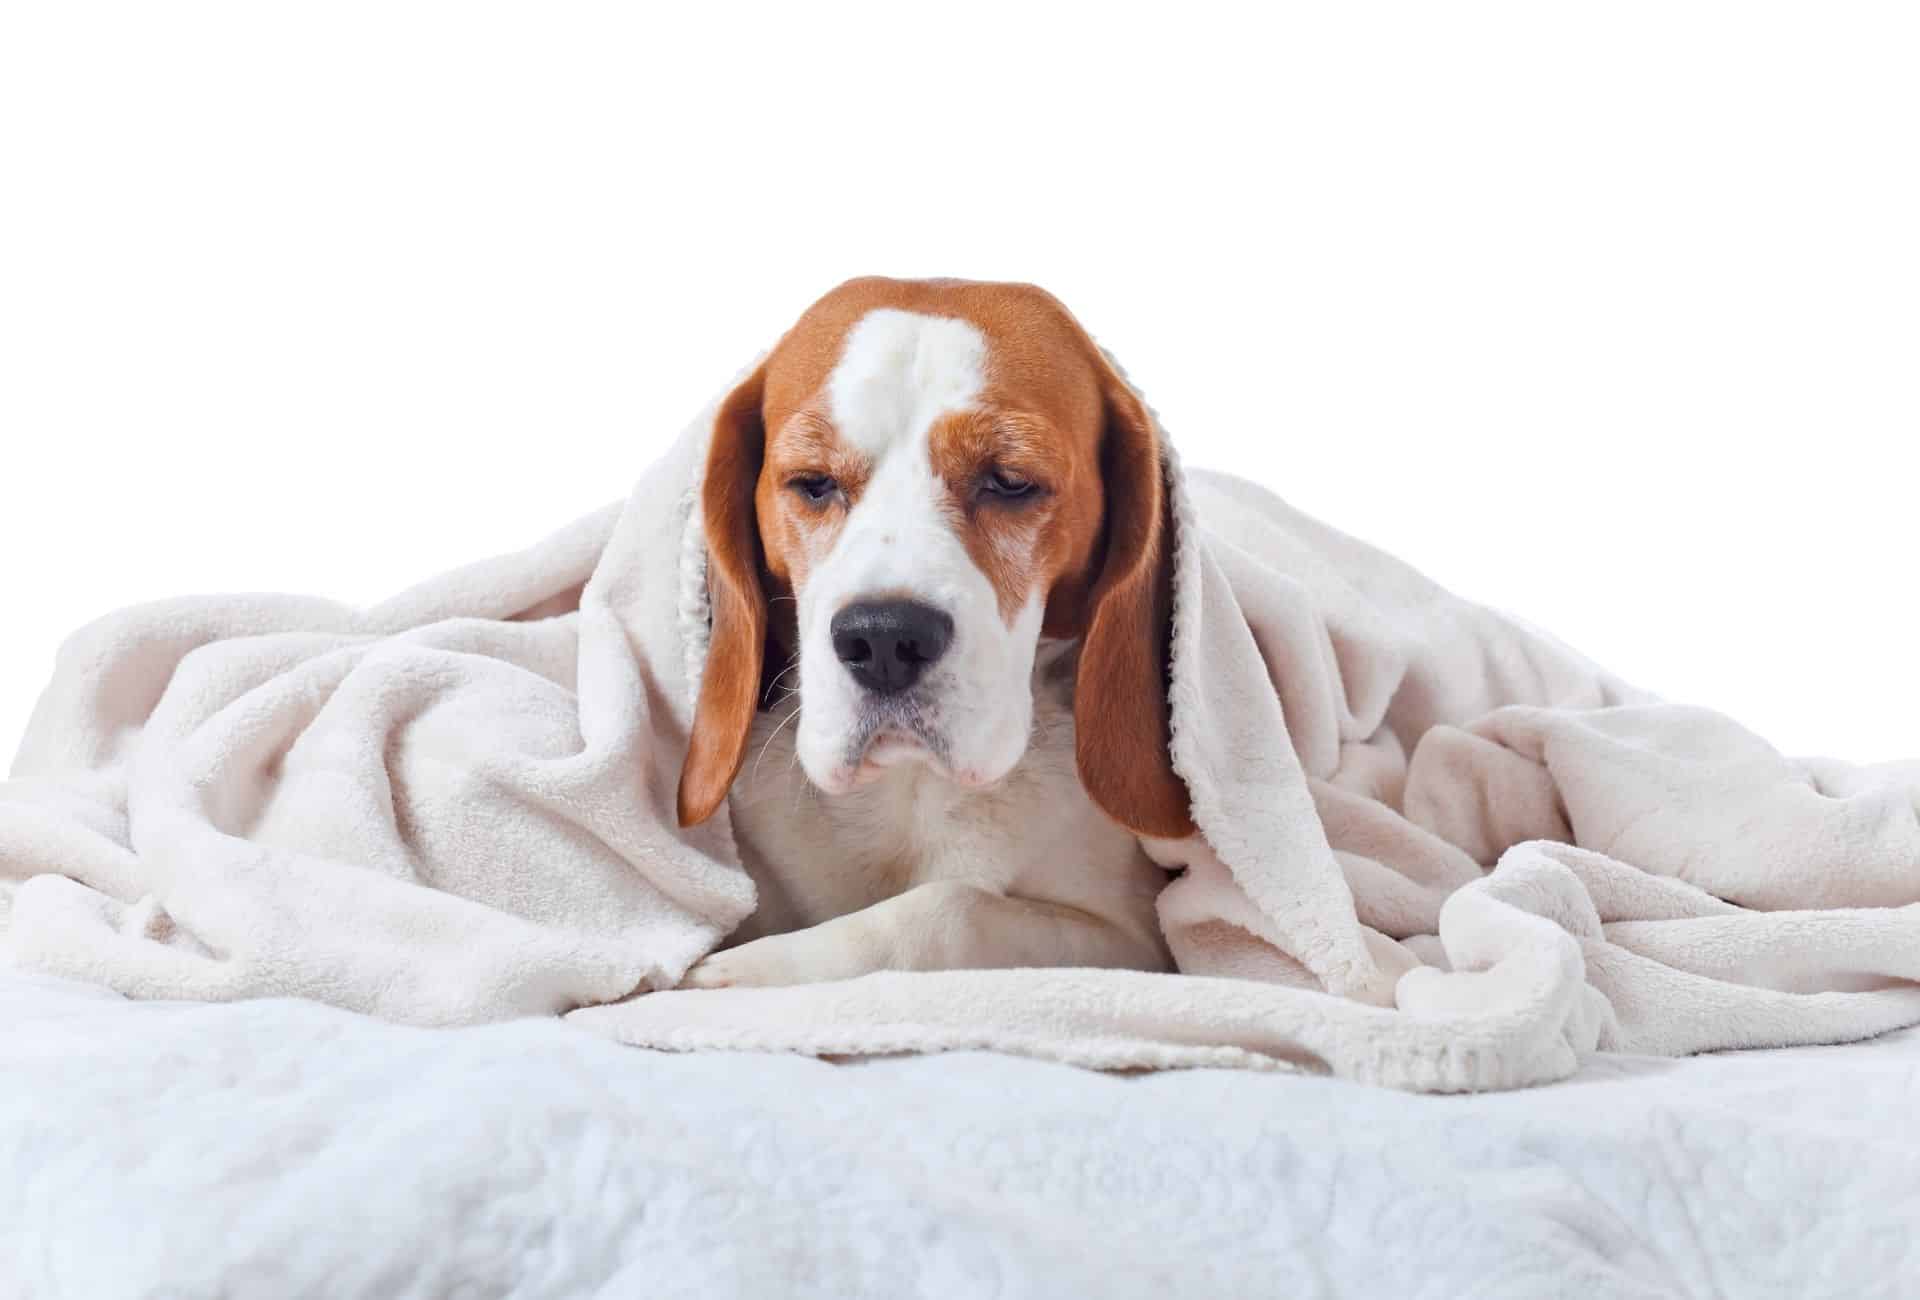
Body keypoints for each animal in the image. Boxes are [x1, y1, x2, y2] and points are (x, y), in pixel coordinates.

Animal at [668, 274, 1190, 983]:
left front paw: (751, 970)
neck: (905, 789)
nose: (885, 640)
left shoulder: (1138, 945)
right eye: (813, 482)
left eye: (1010, 481)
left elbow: (949, 909)